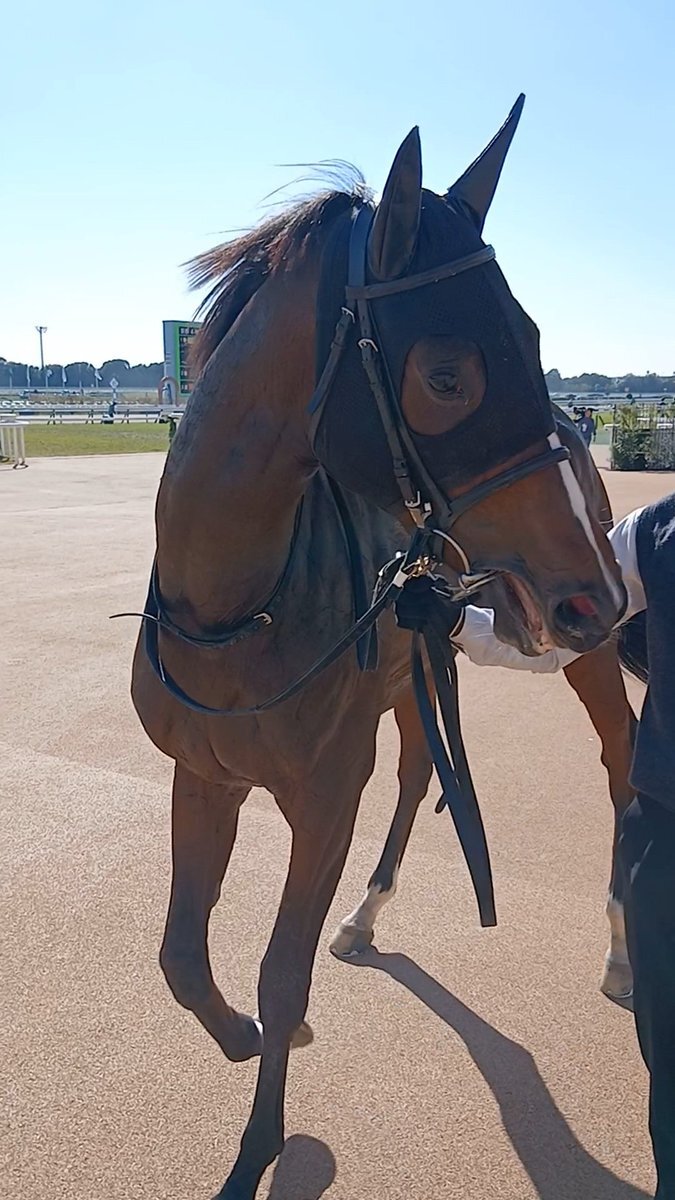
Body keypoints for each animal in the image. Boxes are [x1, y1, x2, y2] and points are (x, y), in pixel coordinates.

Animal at [130, 100, 628, 1198]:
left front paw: (260, 1142)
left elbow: (280, 968)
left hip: (584, 655)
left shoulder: (321, 791)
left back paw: (623, 940)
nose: (593, 594)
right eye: (446, 374)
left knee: (622, 764)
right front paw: (242, 1037)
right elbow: (182, 953)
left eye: (534, 339)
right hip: (418, 669)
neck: (237, 609)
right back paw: (366, 913)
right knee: (413, 773)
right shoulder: (206, 771)